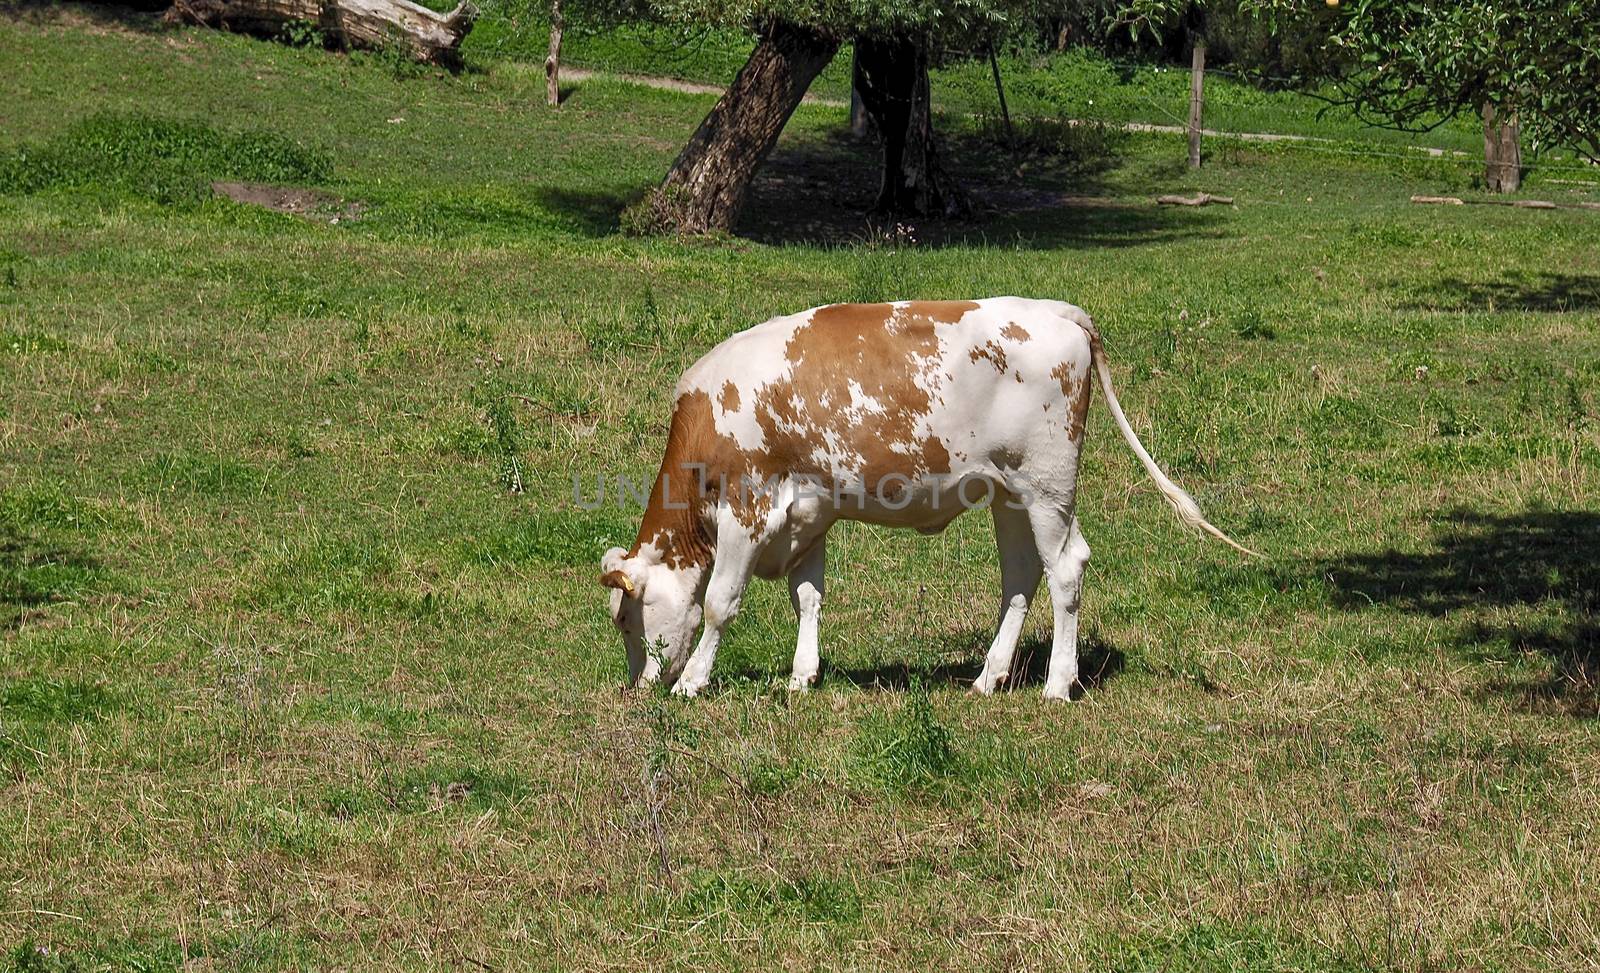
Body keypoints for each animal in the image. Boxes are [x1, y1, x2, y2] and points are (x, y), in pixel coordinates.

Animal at [598, 296, 1248, 697]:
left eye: (627, 618)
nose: (639, 688)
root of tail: (1055, 310)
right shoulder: (809, 513)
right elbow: (807, 598)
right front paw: (801, 677)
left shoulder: (748, 509)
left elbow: (718, 603)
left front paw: (692, 682)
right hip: (1011, 494)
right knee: (1021, 576)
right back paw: (989, 678)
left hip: (1048, 485)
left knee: (1066, 569)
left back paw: (1057, 684)